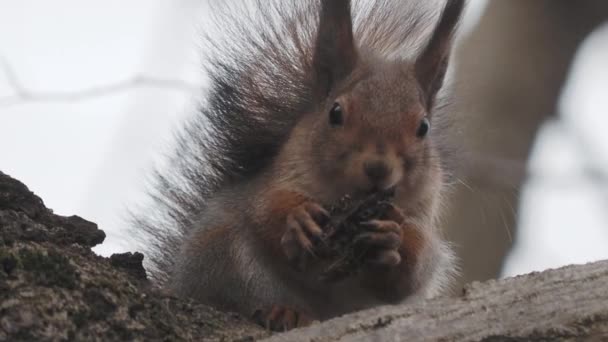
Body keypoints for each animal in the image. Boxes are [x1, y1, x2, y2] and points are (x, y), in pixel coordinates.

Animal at [134, 0, 466, 332]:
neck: (349, 200)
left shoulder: (422, 214)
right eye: (335, 113)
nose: (378, 168)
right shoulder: (276, 180)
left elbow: (412, 270)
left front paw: (391, 237)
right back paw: (283, 311)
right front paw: (298, 219)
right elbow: (265, 208)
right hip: (220, 254)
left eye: (423, 127)